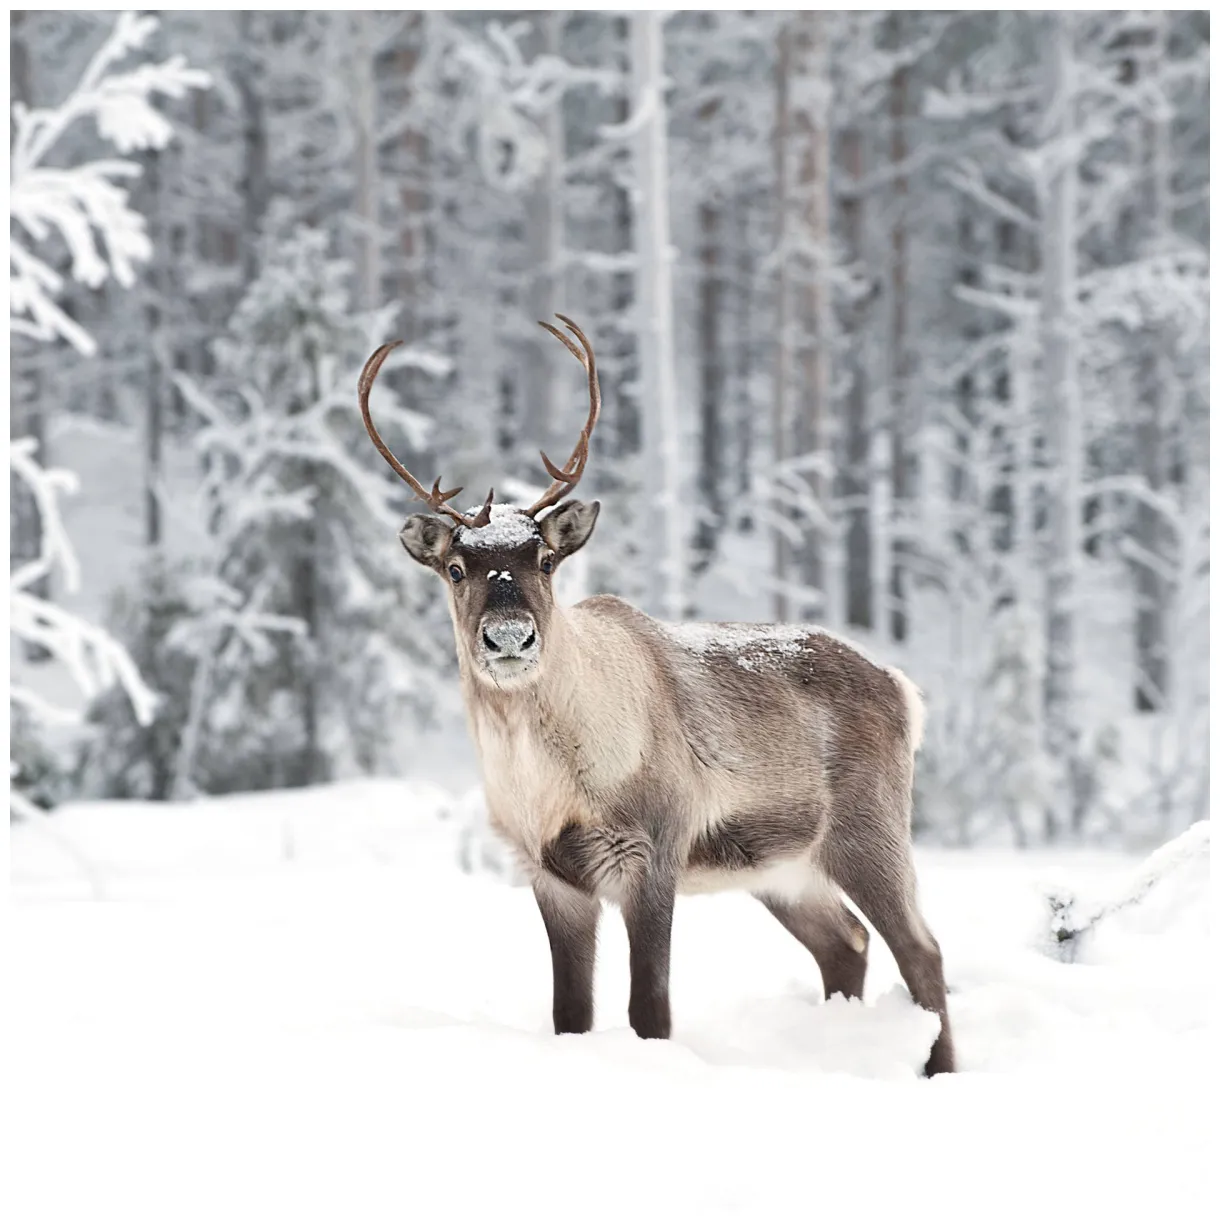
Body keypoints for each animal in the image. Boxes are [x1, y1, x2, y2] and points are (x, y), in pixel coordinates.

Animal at [358, 315, 955, 1076]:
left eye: (545, 560)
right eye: (457, 567)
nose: (510, 638)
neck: (547, 780)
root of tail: (902, 689)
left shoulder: (651, 852)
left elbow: (651, 1011)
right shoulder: (551, 876)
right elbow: (570, 1014)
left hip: (868, 831)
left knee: (922, 950)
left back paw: (936, 1068)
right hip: (784, 869)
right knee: (846, 943)